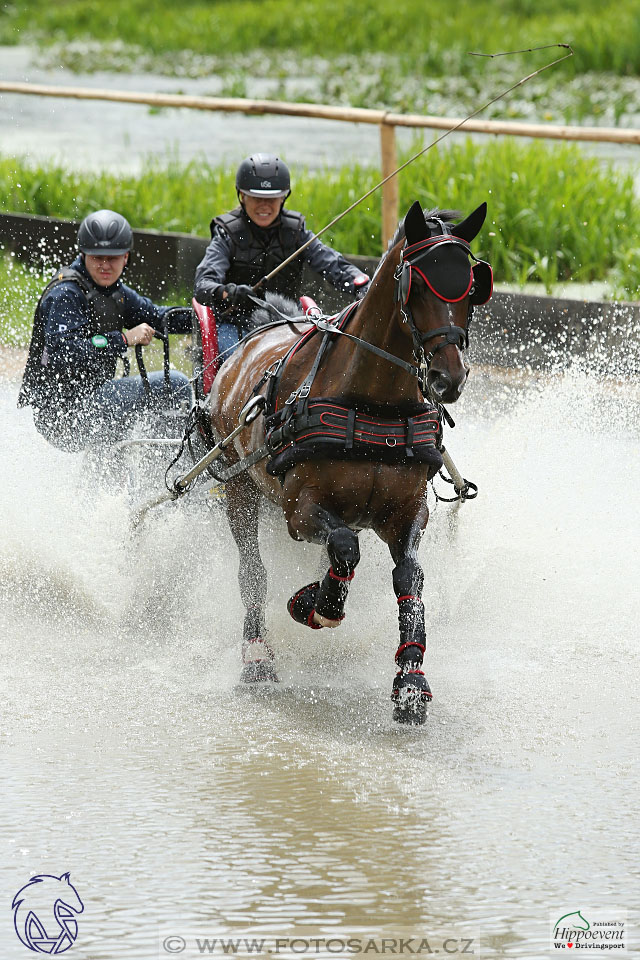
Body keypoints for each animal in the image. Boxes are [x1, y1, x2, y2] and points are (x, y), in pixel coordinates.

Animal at [208, 204, 492, 728]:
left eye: (471, 287)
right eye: (417, 285)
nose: (450, 378)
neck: (372, 402)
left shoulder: (406, 513)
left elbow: (409, 578)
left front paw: (411, 682)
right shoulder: (299, 511)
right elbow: (342, 548)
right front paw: (313, 604)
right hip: (238, 487)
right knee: (252, 570)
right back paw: (257, 656)